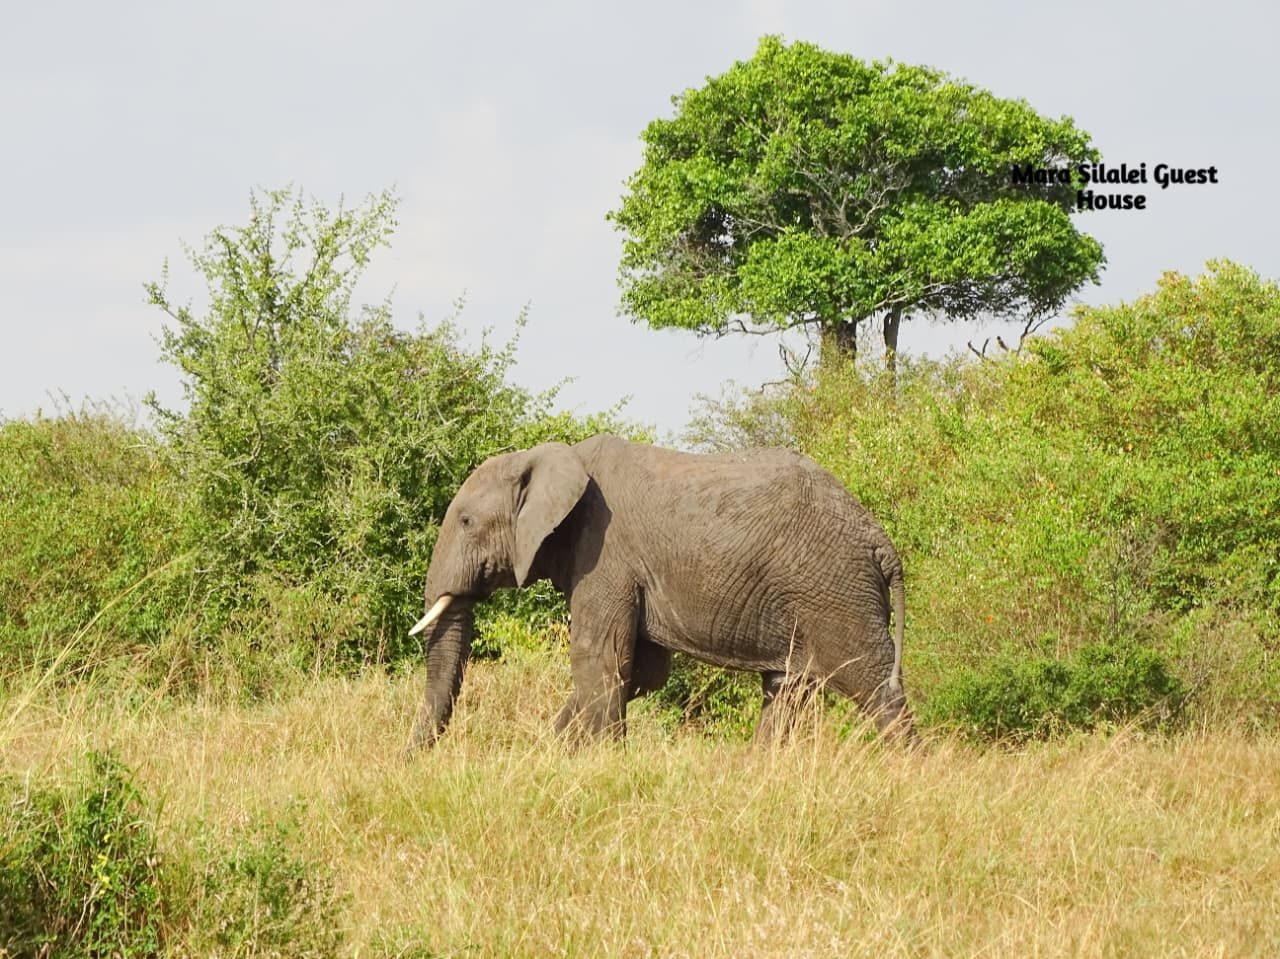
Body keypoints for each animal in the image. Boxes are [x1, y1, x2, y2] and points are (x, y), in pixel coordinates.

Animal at [406, 434, 913, 749]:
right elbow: (641, 672)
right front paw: (556, 751)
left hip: (836, 591)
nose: (411, 760)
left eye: (466, 521)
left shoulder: (605, 555)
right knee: (788, 689)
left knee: (876, 688)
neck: (551, 457)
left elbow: (600, 659)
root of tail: (883, 543)